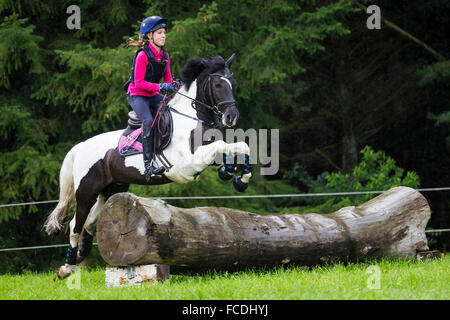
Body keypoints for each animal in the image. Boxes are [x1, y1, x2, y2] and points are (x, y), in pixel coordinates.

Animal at [45, 53, 253, 278]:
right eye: (217, 85)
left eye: (233, 83)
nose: (231, 117)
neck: (192, 120)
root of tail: (80, 147)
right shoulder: (187, 165)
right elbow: (222, 146)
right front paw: (233, 173)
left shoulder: (202, 156)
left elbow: (240, 147)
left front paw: (237, 176)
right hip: (86, 191)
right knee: (76, 224)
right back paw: (66, 267)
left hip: (111, 189)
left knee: (91, 221)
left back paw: (81, 254)